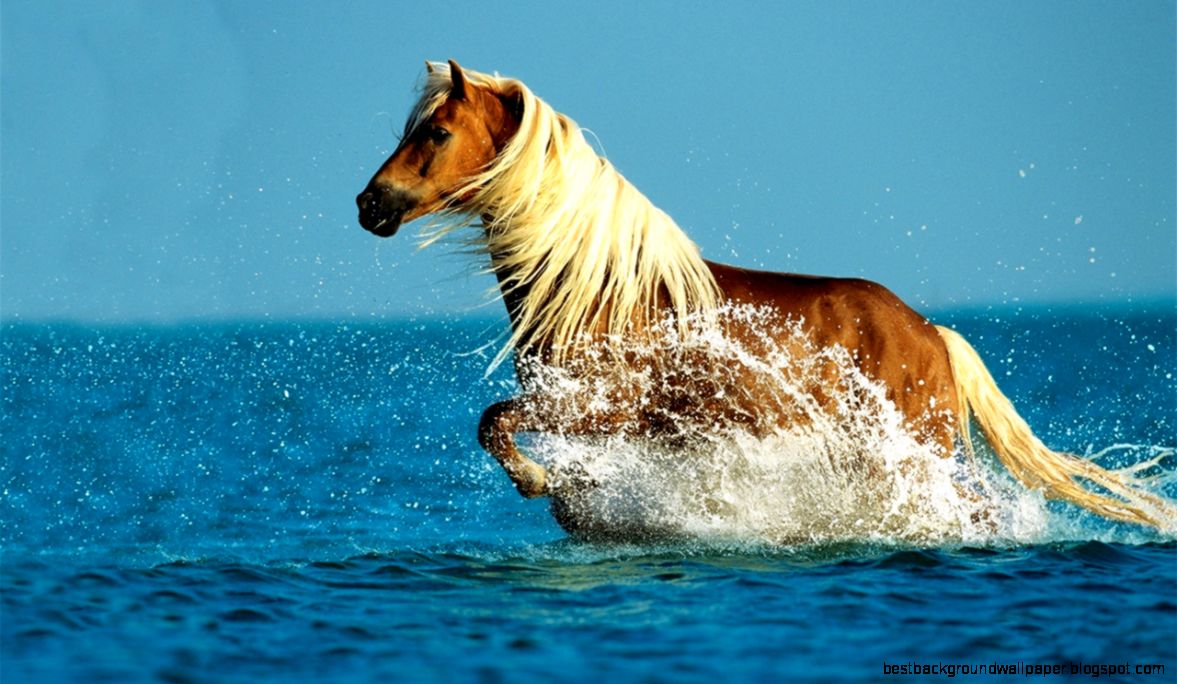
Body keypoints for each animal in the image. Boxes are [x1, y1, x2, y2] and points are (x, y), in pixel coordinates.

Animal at [356, 60, 1173, 532]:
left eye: (436, 132)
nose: (370, 205)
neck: (599, 290)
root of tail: (932, 333)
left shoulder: (598, 406)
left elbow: (493, 423)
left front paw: (534, 480)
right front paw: (567, 500)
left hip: (913, 455)